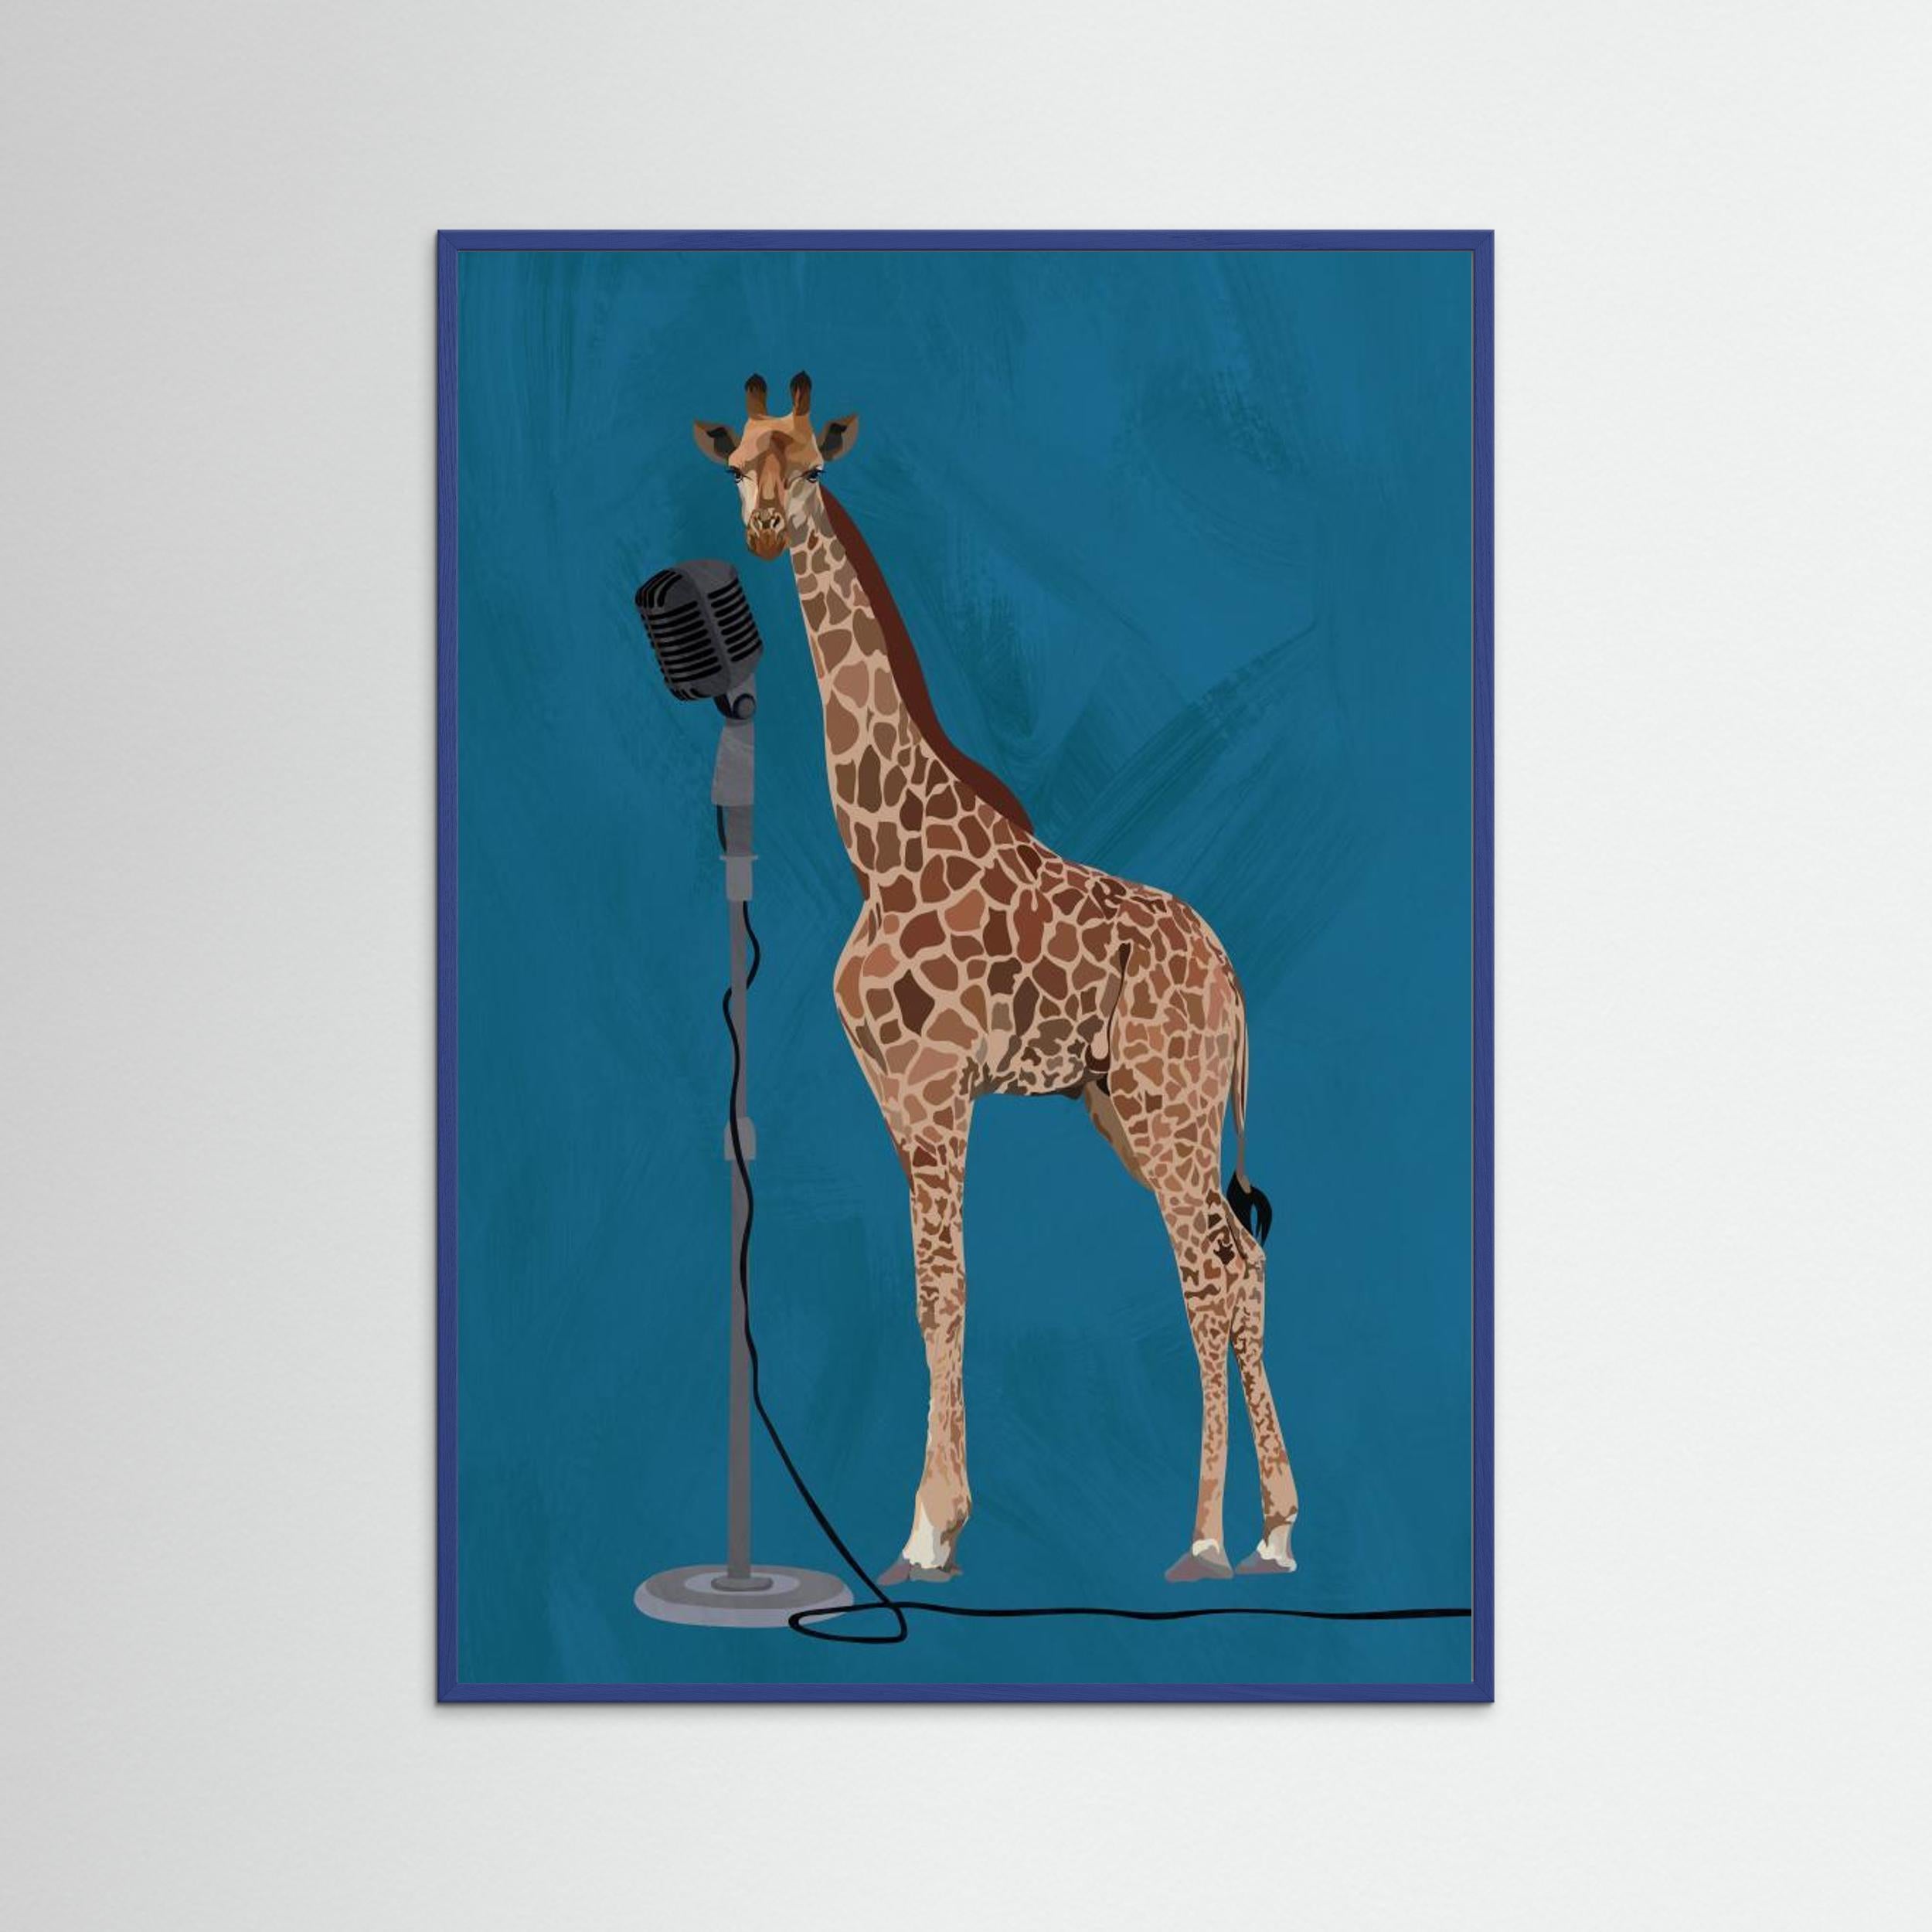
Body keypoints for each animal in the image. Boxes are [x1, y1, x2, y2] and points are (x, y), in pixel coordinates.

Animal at [692, 371, 1300, 1584]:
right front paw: (933, 1521)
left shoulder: (938, 1091)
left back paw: (1207, 1540)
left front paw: (931, 1528)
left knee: (1207, 1275)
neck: (878, 847)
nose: (767, 529)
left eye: (814, 467)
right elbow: (930, 1294)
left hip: (1169, 1107)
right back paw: (1274, 1530)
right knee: (1240, 1258)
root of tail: (1232, 977)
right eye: (737, 465)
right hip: (1132, 1109)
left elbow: (945, 1291)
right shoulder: (893, 1094)